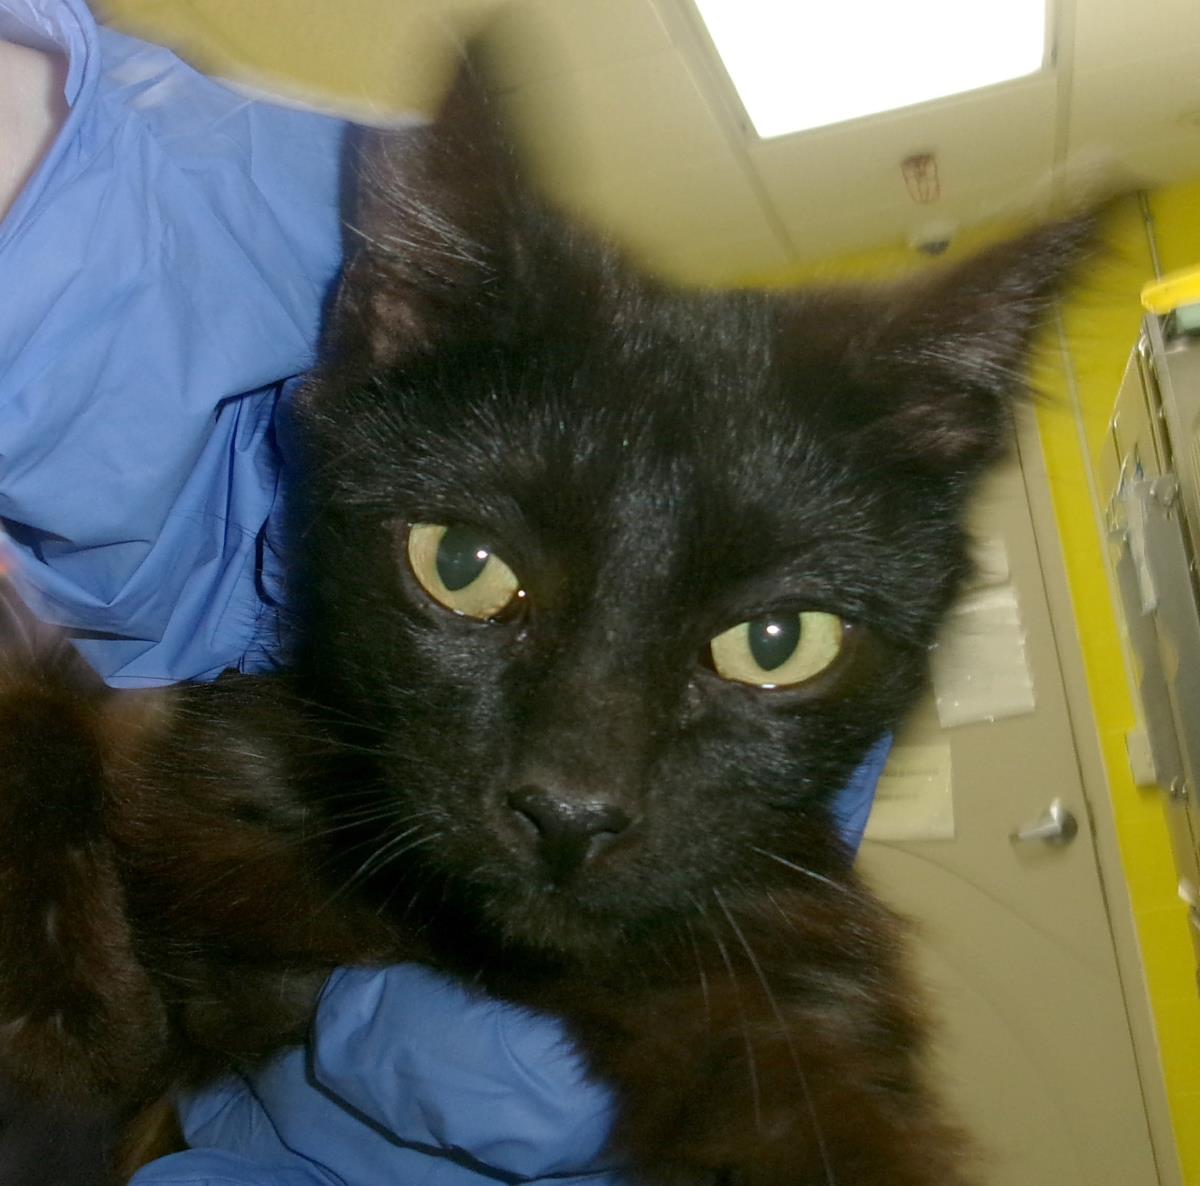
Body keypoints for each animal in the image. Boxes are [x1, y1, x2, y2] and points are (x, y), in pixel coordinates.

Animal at [0, 51, 1099, 1186]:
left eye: (778, 643)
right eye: (461, 564)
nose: (569, 811)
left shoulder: (791, 975)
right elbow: (46, 704)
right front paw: (63, 1031)